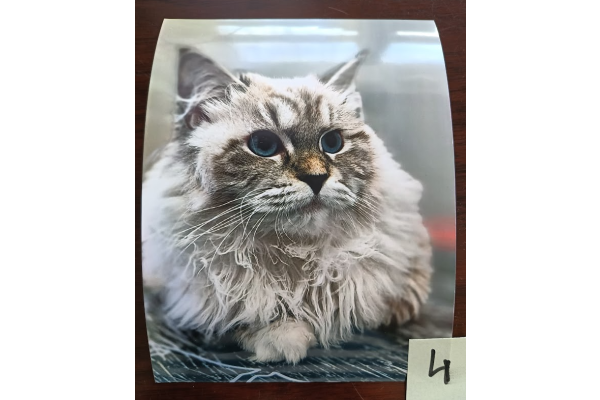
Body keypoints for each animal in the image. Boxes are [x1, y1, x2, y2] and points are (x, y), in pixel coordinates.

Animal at [142, 48, 432, 364]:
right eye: (263, 146)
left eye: (333, 142)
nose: (316, 178)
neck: (298, 255)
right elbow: (247, 321)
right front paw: (281, 342)